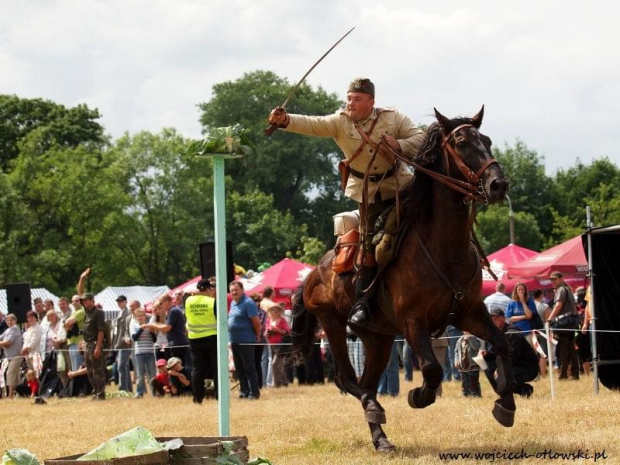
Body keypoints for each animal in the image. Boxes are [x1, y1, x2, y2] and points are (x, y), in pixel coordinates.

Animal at [290, 108, 512, 450]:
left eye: (486, 140)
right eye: (461, 143)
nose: (498, 184)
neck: (444, 247)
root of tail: (315, 272)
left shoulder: (470, 313)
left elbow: (501, 343)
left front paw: (506, 404)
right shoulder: (412, 322)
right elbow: (432, 368)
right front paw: (420, 395)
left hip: (377, 338)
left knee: (367, 382)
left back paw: (380, 435)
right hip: (332, 323)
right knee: (347, 379)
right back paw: (373, 407)